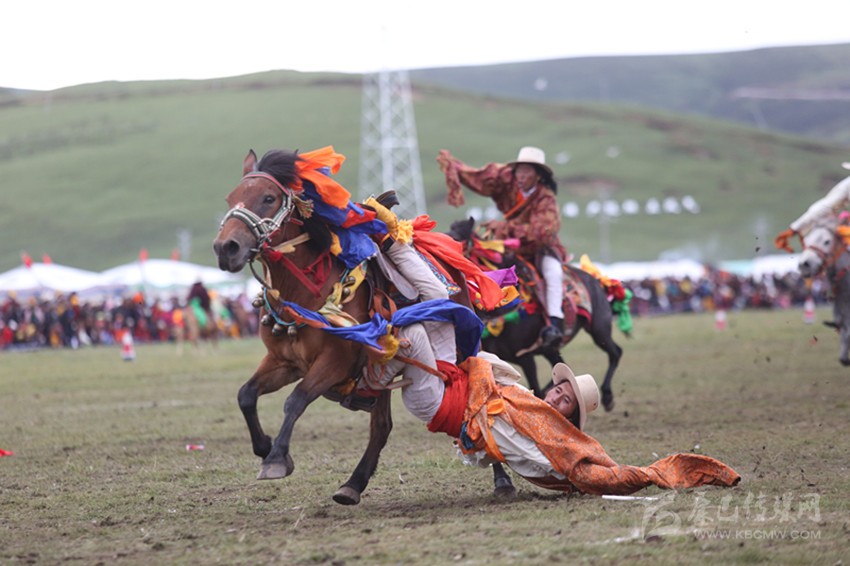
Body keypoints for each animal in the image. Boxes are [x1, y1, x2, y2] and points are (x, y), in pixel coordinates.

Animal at [213, 149, 515, 504]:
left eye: (268, 198)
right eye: (230, 197)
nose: (226, 248)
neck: (306, 290)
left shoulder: (335, 362)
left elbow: (296, 400)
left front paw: (276, 458)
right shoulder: (284, 362)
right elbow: (246, 395)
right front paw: (264, 447)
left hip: (459, 349)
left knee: (475, 397)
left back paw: (502, 479)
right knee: (381, 427)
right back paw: (353, 484)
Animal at [448, 217, 625, 410]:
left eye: (457, 243)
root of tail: (597, 281)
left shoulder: (526, 358)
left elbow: (535, 392)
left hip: (599, 329)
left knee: (615, 352)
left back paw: (607, 396)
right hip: (551, 348)